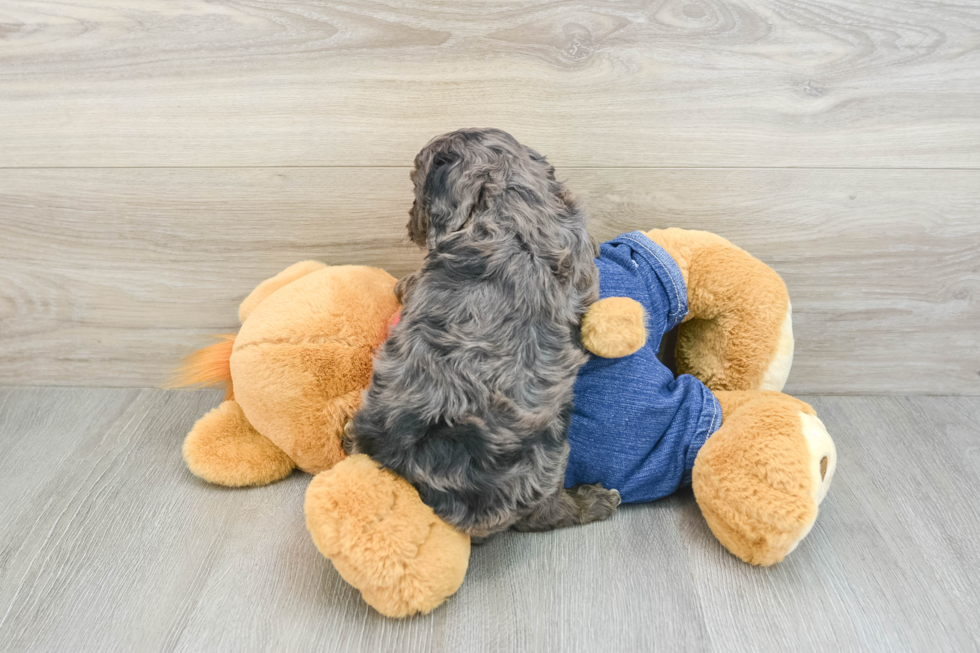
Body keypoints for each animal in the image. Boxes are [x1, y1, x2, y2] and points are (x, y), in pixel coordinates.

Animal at [348, 127, 616, 536]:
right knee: (544, 514)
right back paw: (592, 501)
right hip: (547, 456)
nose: (410, 225)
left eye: (416, 187)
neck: (508, 201)